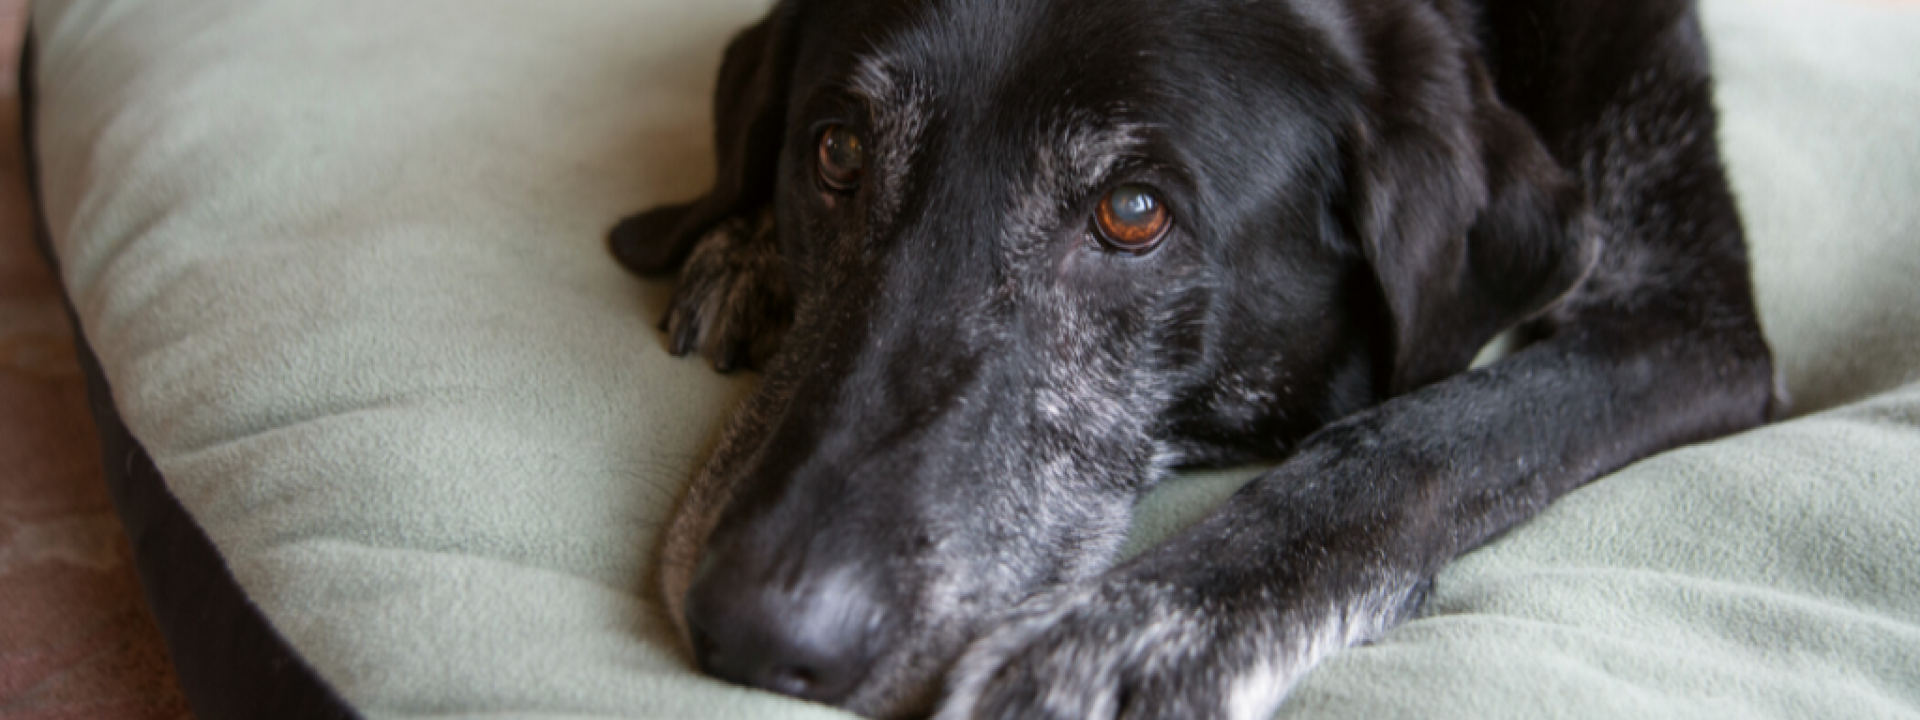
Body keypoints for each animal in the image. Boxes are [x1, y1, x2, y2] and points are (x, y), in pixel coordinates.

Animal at [606, 2, 1774, 718]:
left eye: (1133, 213)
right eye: (837, 150)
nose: (757, 630)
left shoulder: (1691, 325)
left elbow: (1421, 437)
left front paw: (1128, 640)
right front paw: (742, 240)